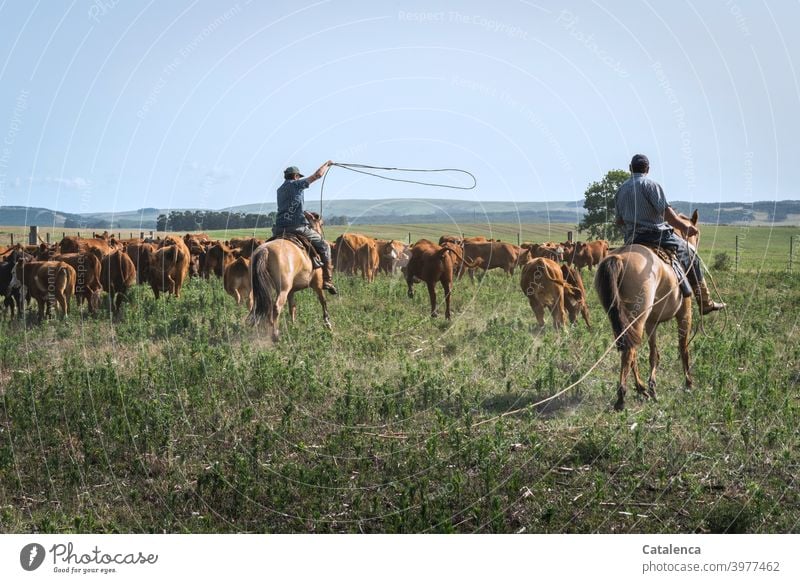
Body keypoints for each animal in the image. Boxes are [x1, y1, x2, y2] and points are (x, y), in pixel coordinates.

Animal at [247, 211, 328, 342]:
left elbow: (292, 308)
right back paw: (275, 335)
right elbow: (323, 301)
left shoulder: (292, 291)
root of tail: (265, 250)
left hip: (258, 288)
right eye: (322, 223)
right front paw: (327, 323)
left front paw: (294, 326)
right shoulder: (317, 284)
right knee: (276, 307)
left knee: (260, 305)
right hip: (283, 289)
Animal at [592, 210, 700, 410]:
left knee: (629, 346)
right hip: (637, 317)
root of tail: (619, 258)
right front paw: (689, 383)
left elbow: (653, 353)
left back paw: (641, 388)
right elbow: (683, 347)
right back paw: (622, 397)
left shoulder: (652, 322)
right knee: (630, 351)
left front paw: (653, 386)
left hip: (620, 317)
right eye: (693, 233)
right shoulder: (684, 313)